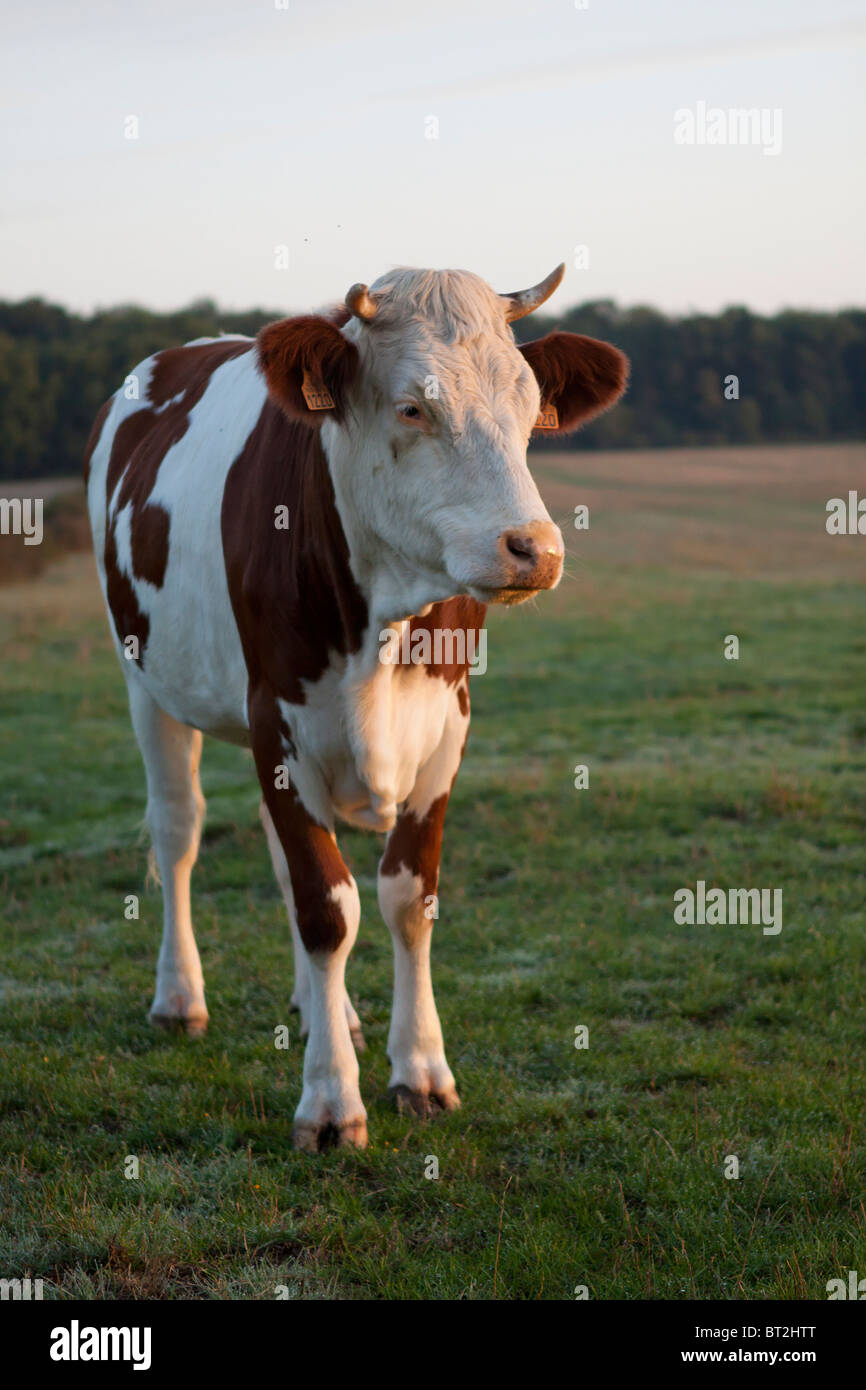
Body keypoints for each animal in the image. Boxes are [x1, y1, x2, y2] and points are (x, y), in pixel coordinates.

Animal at [84, 261, 625, 1150]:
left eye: (525, 407)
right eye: (412, 407)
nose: (534, 549)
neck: (385, 623)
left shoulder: (448, 728)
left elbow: (406, 900)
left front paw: (422, 1072)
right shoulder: (277, 718)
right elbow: (326, 909)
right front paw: (332, 1105)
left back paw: (324, 1011)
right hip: (145, 684)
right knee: (179, 830)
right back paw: (179, 998)